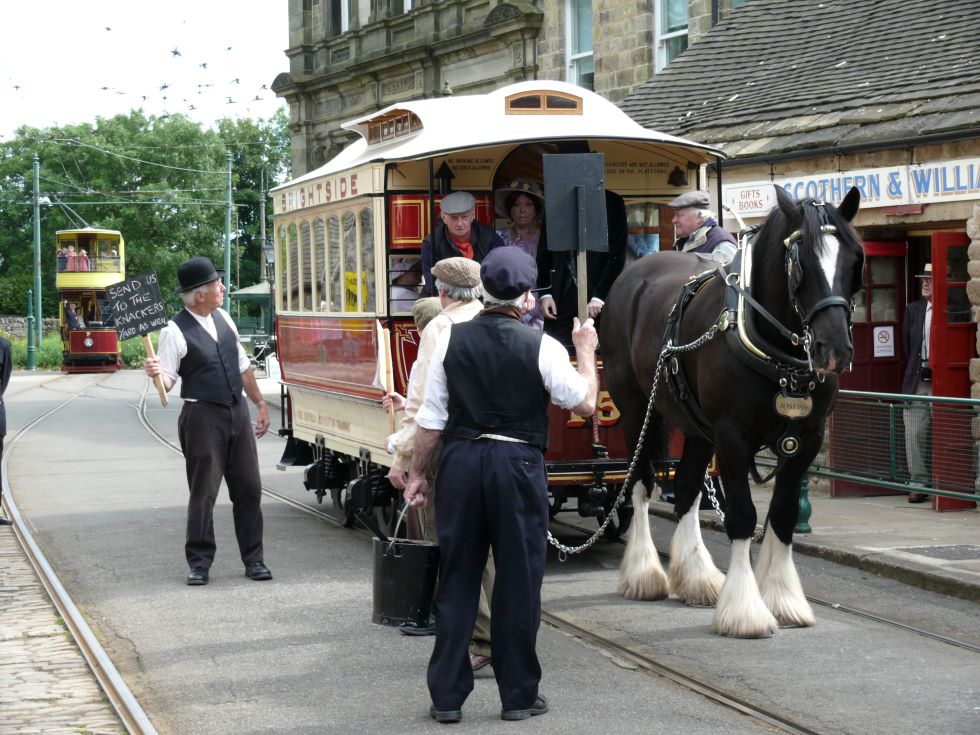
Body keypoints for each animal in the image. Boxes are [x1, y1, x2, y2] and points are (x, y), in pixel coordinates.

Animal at [600, 185, 860, 640]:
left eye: (853, 260)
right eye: (800, 262)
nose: (834, 350)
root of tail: (634, 275)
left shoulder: (805, 440)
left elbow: (783, 515)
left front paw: (783, 599)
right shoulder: (733, 436)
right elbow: (741, 517)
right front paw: (745, 611)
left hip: (696, 426)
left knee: (687, 488)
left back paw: (696, 578)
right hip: (634, 408)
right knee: (641, 484)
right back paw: (644, 573)